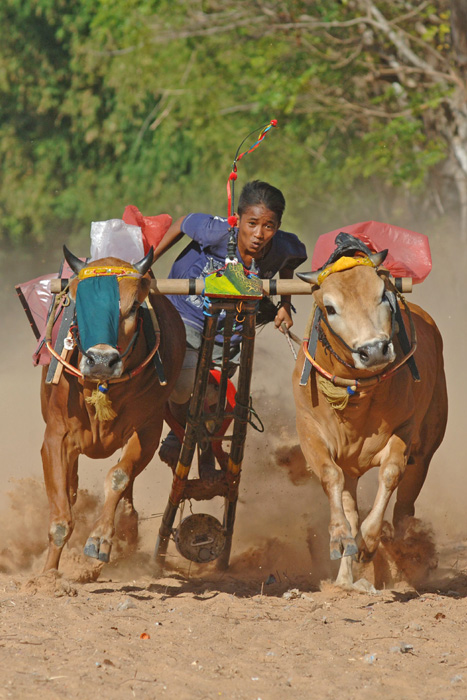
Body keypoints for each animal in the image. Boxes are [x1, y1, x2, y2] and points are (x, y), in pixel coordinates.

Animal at [41, 249, 185, 572]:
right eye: (81, 306)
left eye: (133, 308)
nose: (101, 361)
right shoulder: (55, 436)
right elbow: (61, 517)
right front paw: (46, 576)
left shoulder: (147, 430)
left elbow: (119, 477)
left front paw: (100, 539)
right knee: (71, 488)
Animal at [294, 249, 448, 588]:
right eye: (330, 307)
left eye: (382, 296)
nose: (374, 350)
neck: (357, 398)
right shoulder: (311, 433)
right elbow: (331, 477)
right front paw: (340, 538)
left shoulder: (404, 431)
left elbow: (389, 475)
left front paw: (368, 542)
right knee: (351, 504)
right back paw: (344, 580)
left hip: (425, 451)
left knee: (404, 509)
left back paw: (403, 565)